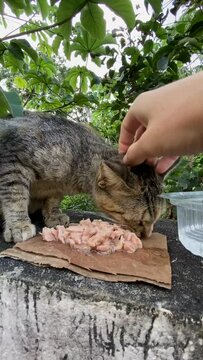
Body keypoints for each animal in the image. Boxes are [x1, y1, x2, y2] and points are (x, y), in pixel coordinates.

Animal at [0, 112, 163, 242]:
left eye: (155, 220)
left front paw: (53, 215)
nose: (148, 236)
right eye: (140, 221)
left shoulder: (56, 188)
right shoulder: (12, 161)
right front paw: (19, 224)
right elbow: (16, 197)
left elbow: (53, 200)